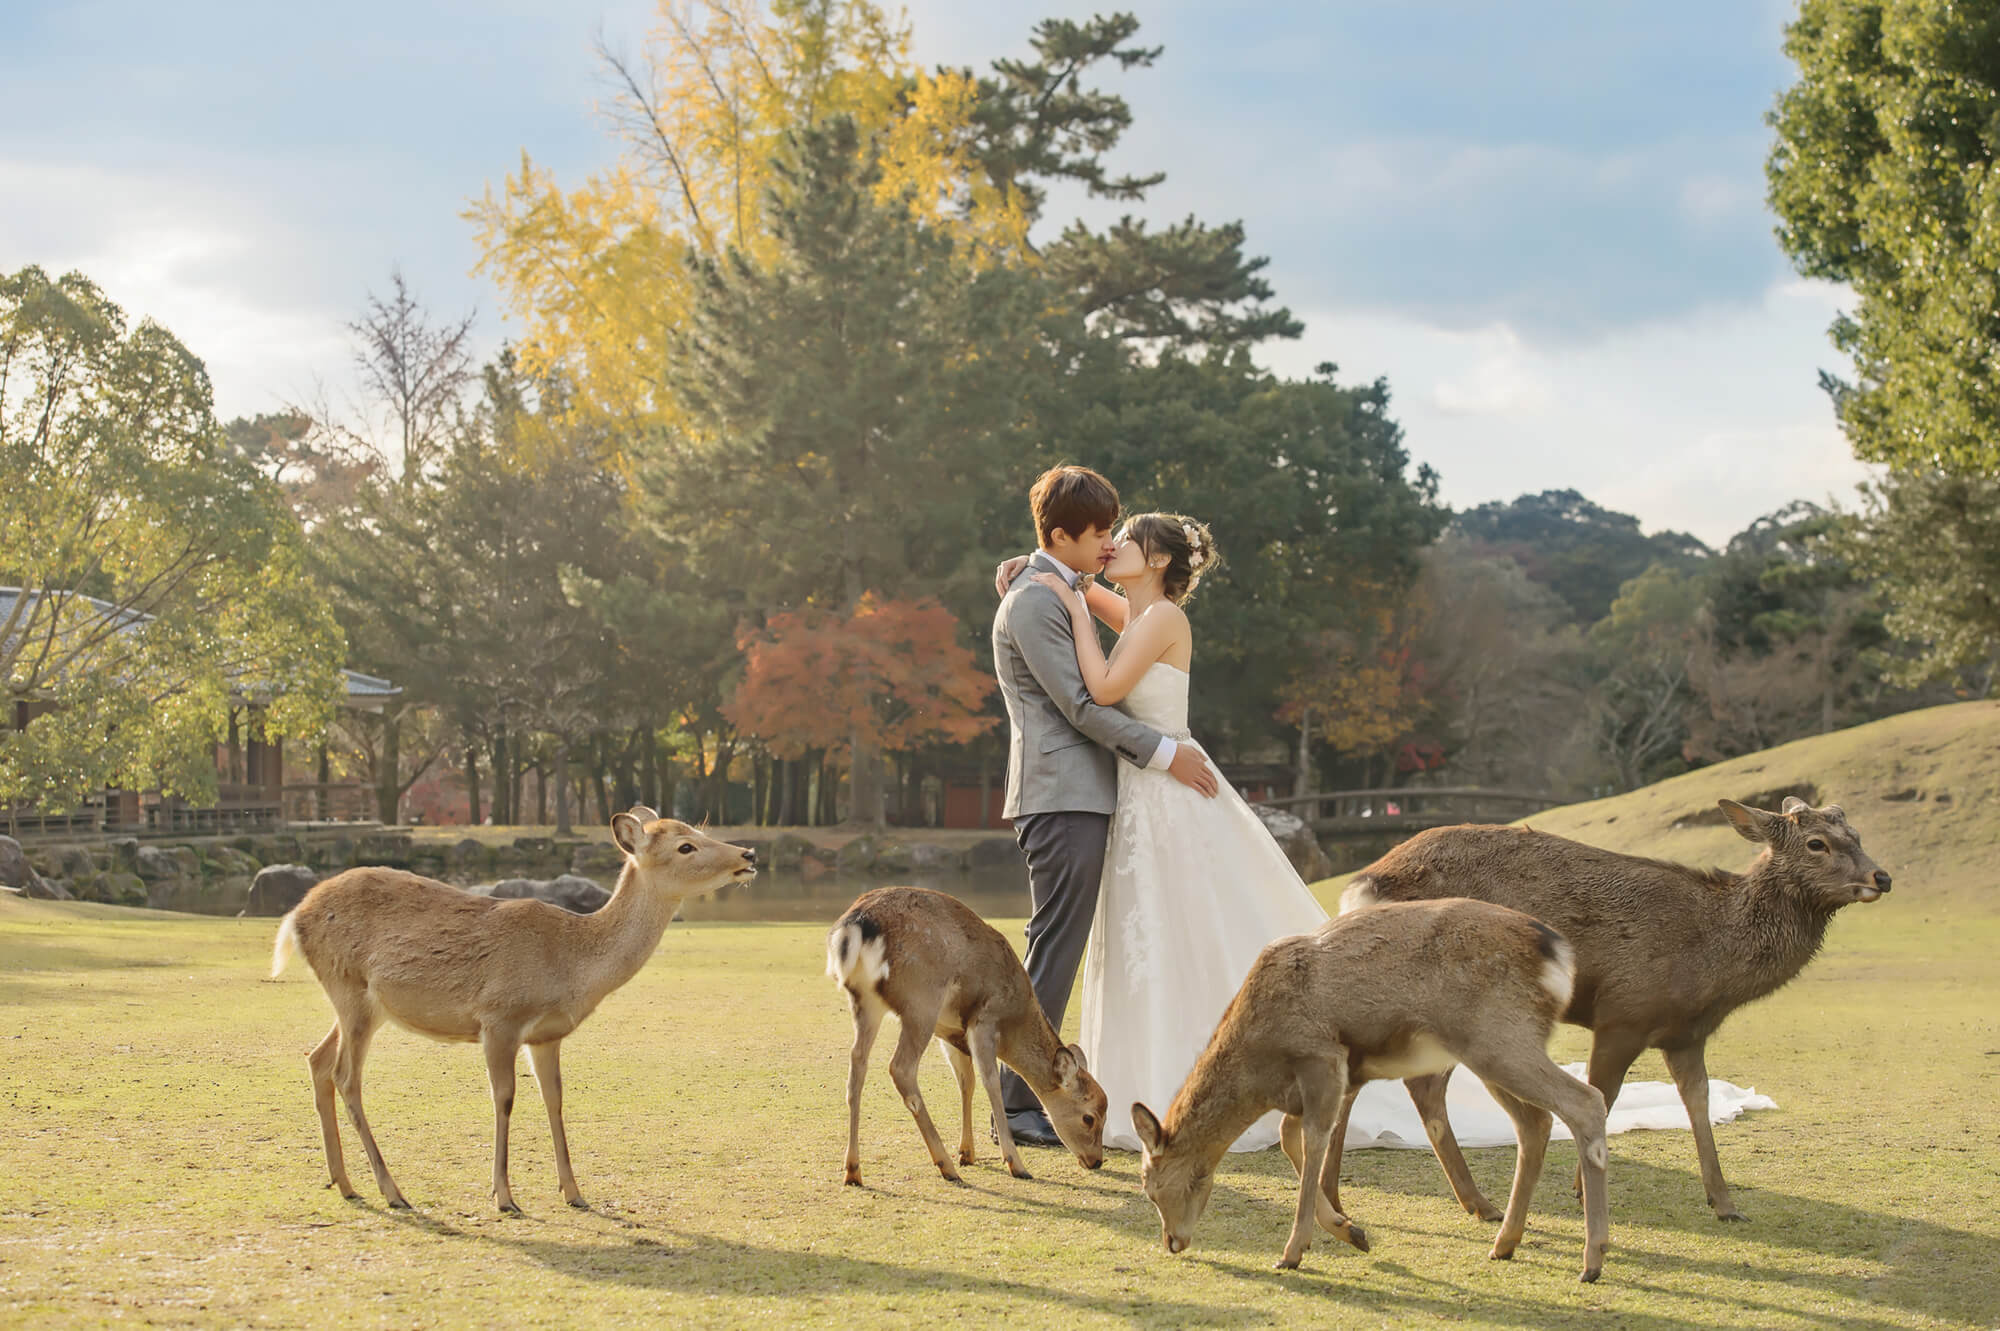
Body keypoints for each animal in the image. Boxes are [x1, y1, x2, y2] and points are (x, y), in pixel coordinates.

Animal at [270, 803, 752, 1207]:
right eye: (685, 846)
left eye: (698, 830)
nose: (748, 853)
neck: (571, 964)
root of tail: (295, 916)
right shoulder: (498, 1018)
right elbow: (504, 1097)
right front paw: (503, 1196)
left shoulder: (546, 1035)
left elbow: (554, 1098)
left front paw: (574, 1192)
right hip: (350, 988)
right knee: (345, 1075)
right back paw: (392, 1191)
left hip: (360, 1004)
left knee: (317, 1060)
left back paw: (344, 1183)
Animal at [824, 879, 1112, 1183]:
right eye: (1089, 1117)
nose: (1096, 1161)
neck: (1015, 1017)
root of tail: (856, 924)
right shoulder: (984, 1020)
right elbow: (991, 1082)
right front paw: (1014, 1163)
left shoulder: (951, 1034)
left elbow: (966, 1082)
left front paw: (967, 1153)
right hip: (921, 1001)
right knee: (900, 1068)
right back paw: (946, 1166)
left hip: (866, 1001)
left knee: (857, 1064)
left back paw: (853, 1170)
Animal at [1128, 895, 1608, 1279]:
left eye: (1151, 1188)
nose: (1172, 1241)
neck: (1263, 1065)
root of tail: (1558, 954)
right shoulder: (1319, 1085)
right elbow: (1290, 1138)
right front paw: (1351, 1230)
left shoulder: (1322, 1059)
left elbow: (1312, 1141)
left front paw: (1293, 1251)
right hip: (1493, 1052)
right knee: (1535, 1123)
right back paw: (1504, 1242)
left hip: (1500, 1039)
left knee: (1586, 1101)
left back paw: (1592, 1260)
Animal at [1344, 791, 1888, 1215]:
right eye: (1817, 843)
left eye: (1857, 834)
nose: (1881, 878)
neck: (1713, 962)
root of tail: (1364, 883)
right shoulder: (1622, 1014)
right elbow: (1602, 1096)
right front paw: (1583, 1191)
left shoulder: (1686, 1033)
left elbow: (1698, 1102)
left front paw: (1724, 1202)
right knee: (1423, 1085)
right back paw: (1478, 1203)